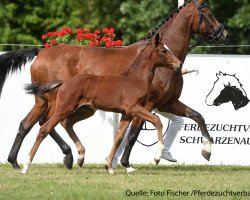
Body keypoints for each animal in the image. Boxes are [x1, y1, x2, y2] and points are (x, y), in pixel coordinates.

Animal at [21, 34, 182, 173]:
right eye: (163, 51)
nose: (179, 64)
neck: (135, 79)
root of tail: (63, 82)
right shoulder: (134, 108)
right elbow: (157, 120)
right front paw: (157, 157)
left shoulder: (127, 114)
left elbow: (118, 138)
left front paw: (109, 166)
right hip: (63, 108)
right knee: (45, 128)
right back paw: (26, 166)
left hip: (80, 109)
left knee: (62, 124)